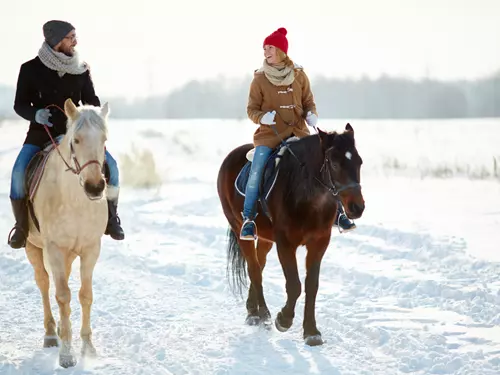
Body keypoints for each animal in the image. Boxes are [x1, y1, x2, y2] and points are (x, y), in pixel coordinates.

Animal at [25, 98, 110, 368]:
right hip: (33, 247)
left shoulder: (91, 249)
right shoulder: (53, 248)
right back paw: (52, 334)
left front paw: (88, 348)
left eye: (104, 139)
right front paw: (66, 354)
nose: (95, 187)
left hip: (69, 255)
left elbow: (85, 295)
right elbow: (62, 295)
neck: (75, 200)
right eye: (76, 140)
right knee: (43, 283)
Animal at [217, 123, 366, 346]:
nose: (357, 207)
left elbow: (312, 286)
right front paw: (283, 320)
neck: (308, 197)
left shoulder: (319, 243)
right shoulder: (285, 244)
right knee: (254, 269)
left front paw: (311, 332)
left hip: (266, 238)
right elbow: (294, 285)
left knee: (259, 265)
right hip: (239, 228)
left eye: (359, 162)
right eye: (334, 163)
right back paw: (262, 315)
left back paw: (253, 311)